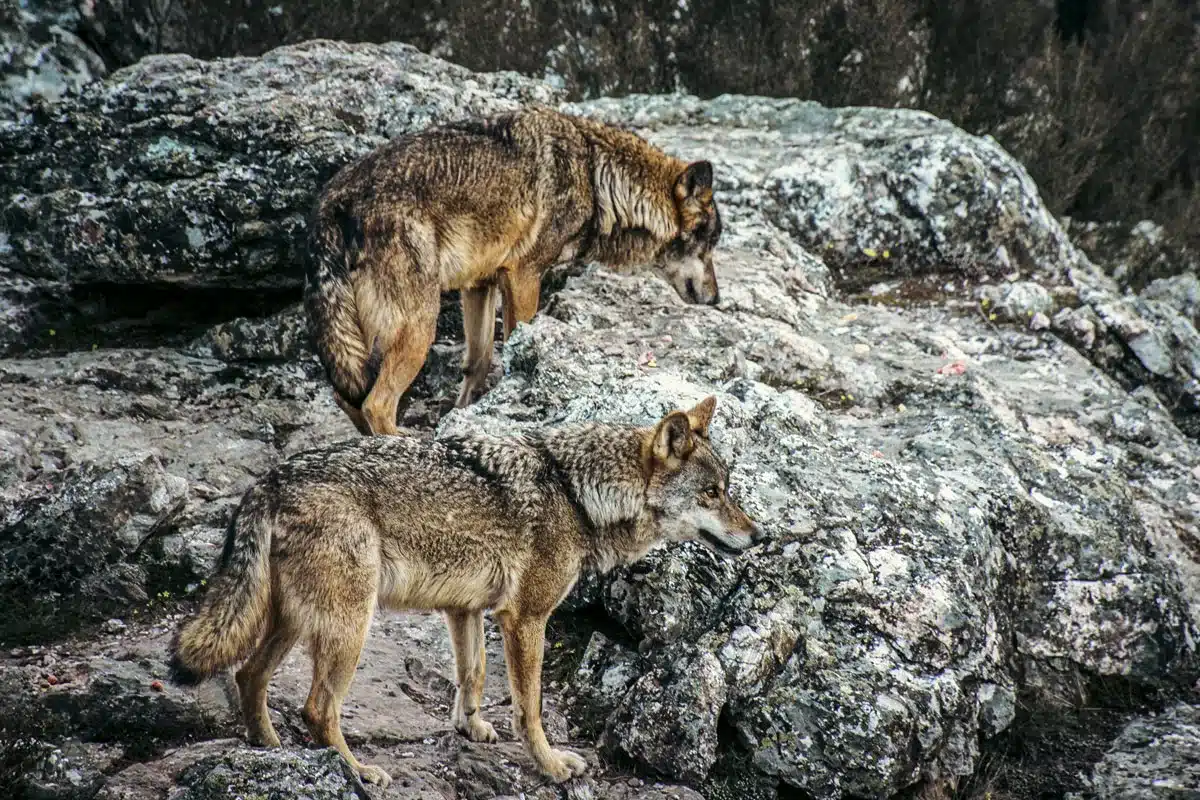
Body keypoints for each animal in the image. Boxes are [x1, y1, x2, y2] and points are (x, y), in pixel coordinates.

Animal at [168, 396, 759, 786]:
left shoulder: (466, 608)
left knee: (249, 675)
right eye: (713, 493)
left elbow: (471, 674)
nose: (761, 536)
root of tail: (269, 481)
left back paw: (271, 751)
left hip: (296, 622)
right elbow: (530, 708)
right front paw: (552, 766)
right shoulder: (525, 618)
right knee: (317, 708)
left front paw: (470, 727)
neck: (575, 492)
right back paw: (356, 771)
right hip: (349, 627)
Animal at [305, 104, 724, 435]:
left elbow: (478, 363)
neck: (595, 175)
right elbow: (517, 341)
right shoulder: (524, 277)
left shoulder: (480, 284)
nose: (717, 299)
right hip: (419, 327)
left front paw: (464, 414)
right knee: (376, 403)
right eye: (709, 242)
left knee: (348, 397)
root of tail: (332, 201)